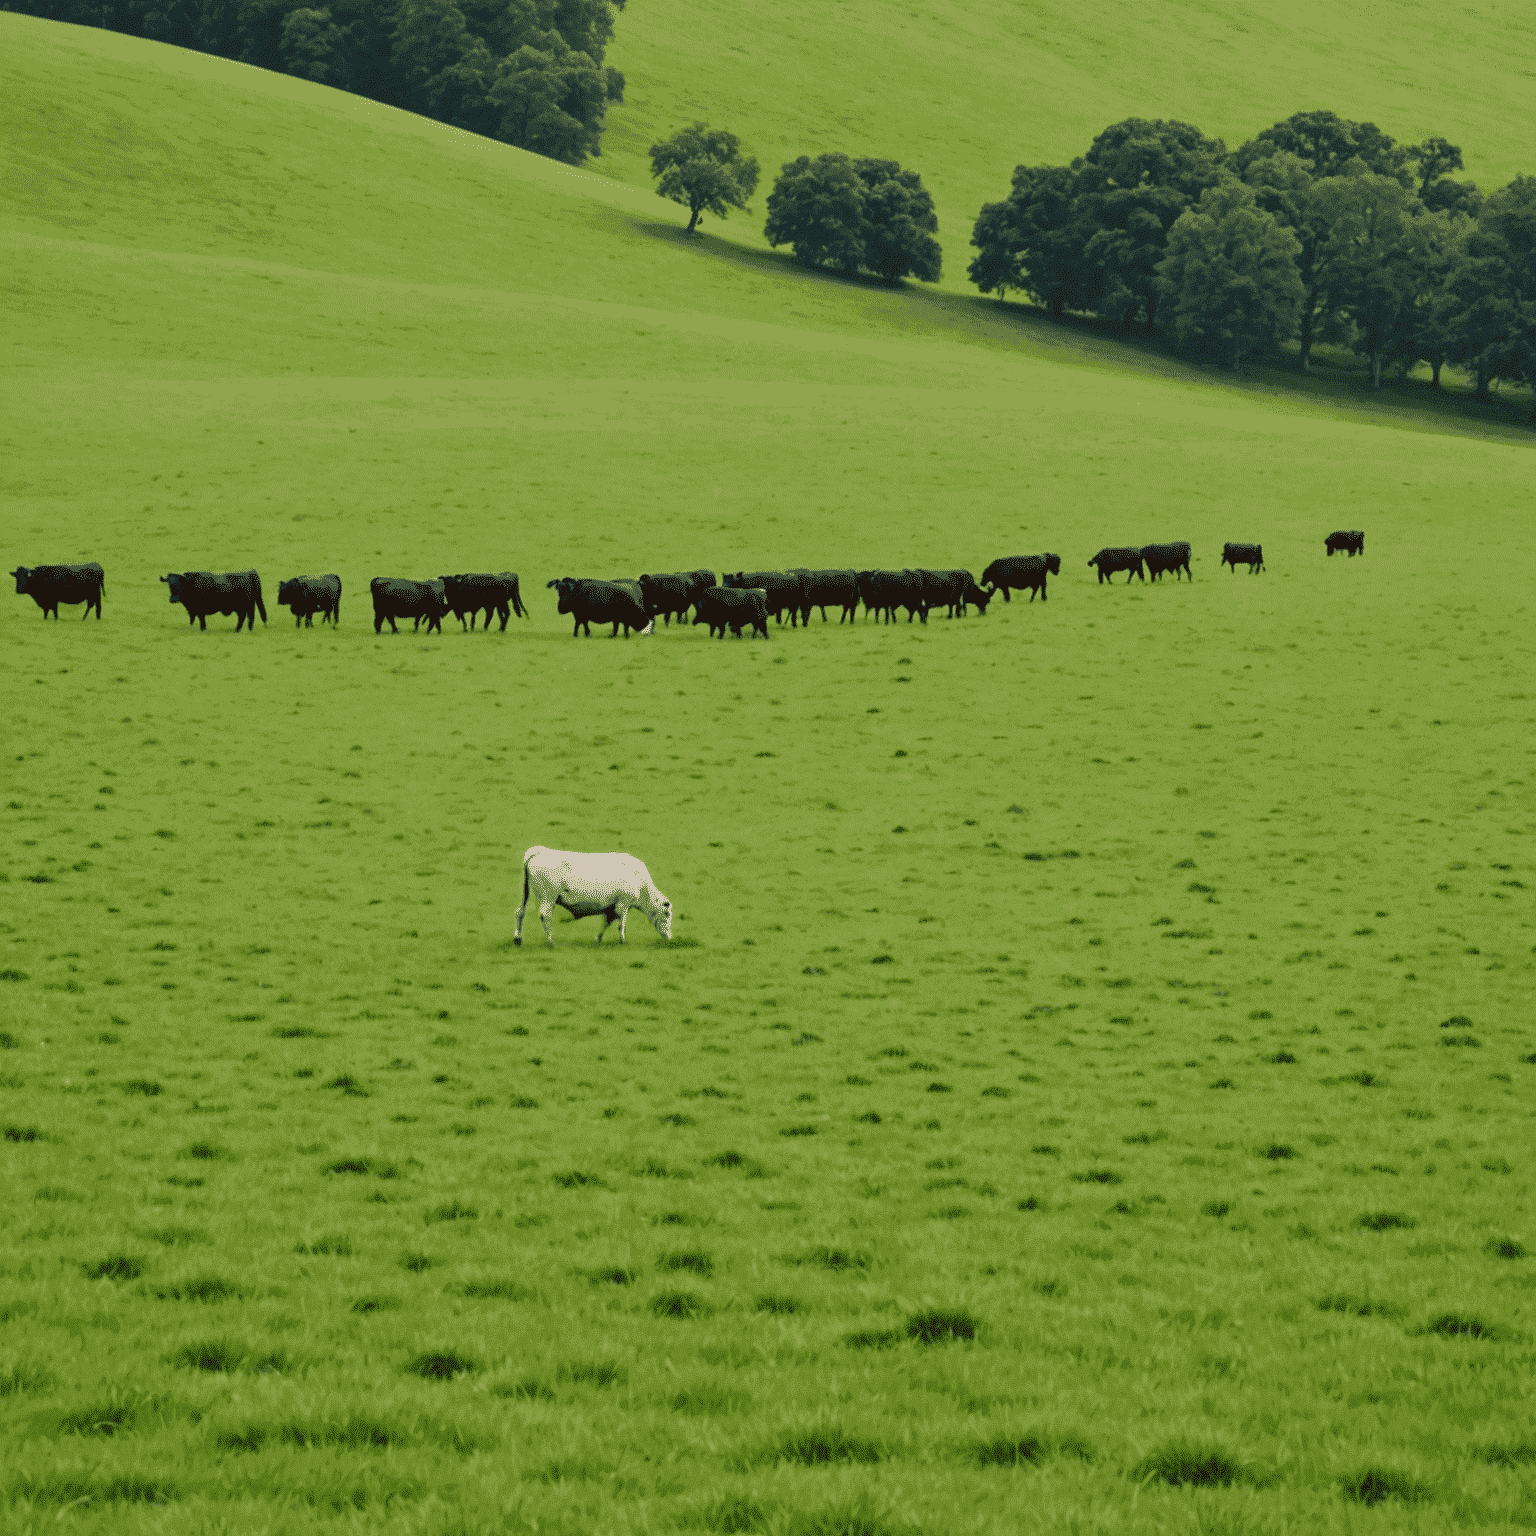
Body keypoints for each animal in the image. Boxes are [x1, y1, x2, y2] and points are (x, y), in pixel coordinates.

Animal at [516, 841, 672, 946]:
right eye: (666, 914)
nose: (670, 937)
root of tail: (540, 851)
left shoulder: (611, 906)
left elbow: (607, 922)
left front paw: (598, 938)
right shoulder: (623, 903)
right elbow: (621, 924)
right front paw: (623, 940)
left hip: (528, 895)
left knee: (520, 912)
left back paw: (518, 939)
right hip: (548, 897)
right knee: (545, 915)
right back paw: (550, 941)